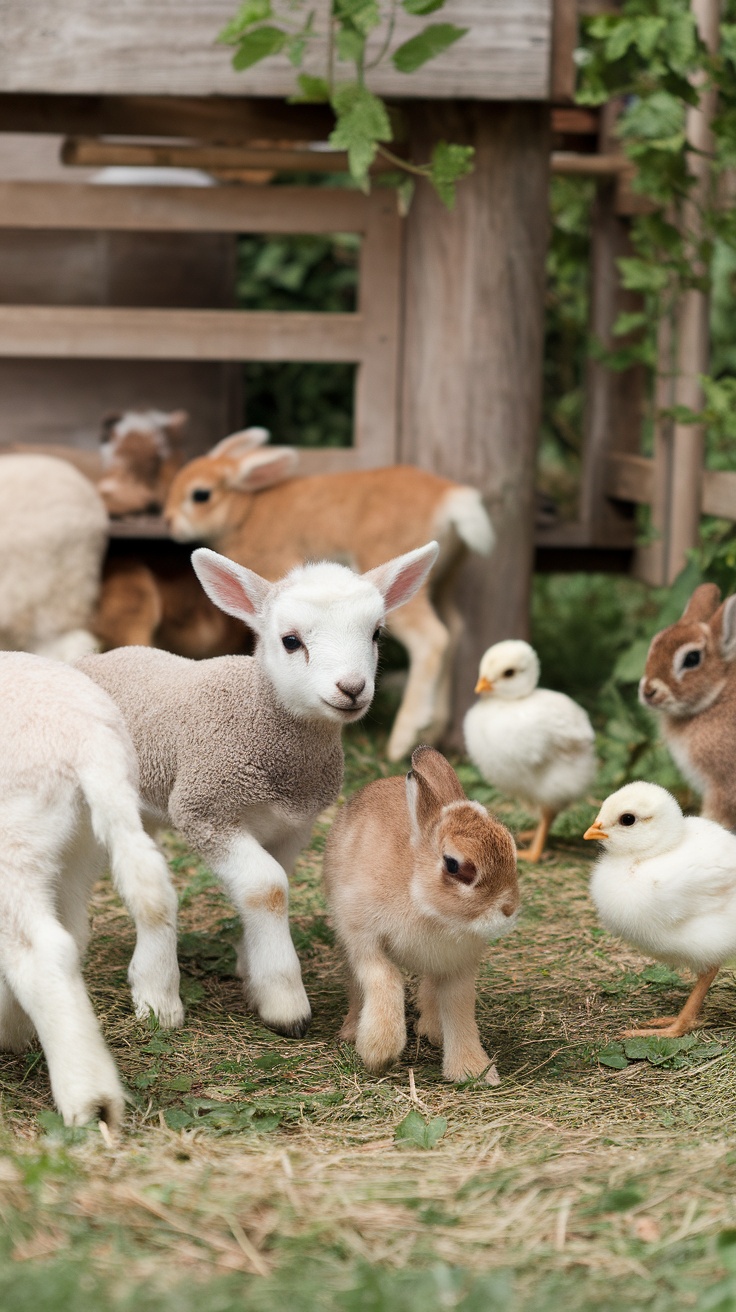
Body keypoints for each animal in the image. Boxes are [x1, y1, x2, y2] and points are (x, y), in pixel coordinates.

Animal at [79, 540, 439, 1038]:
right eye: (290, 640)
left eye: (376, 634)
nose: (352, 688)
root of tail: (96, 657)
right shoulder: (204, 810)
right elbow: (267, 888)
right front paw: (284, 1001)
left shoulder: (293, 824)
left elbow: (273, 881)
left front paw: (252, 969)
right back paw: (155, 992)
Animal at [163, 431, 495, 761]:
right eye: (291, 641)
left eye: (200, 495)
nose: (169, 523)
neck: (246, 511)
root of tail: (452, 496)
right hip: (446, 575)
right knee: (454, 629)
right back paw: (434, 728)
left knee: (432, 636)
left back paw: (402, 739)